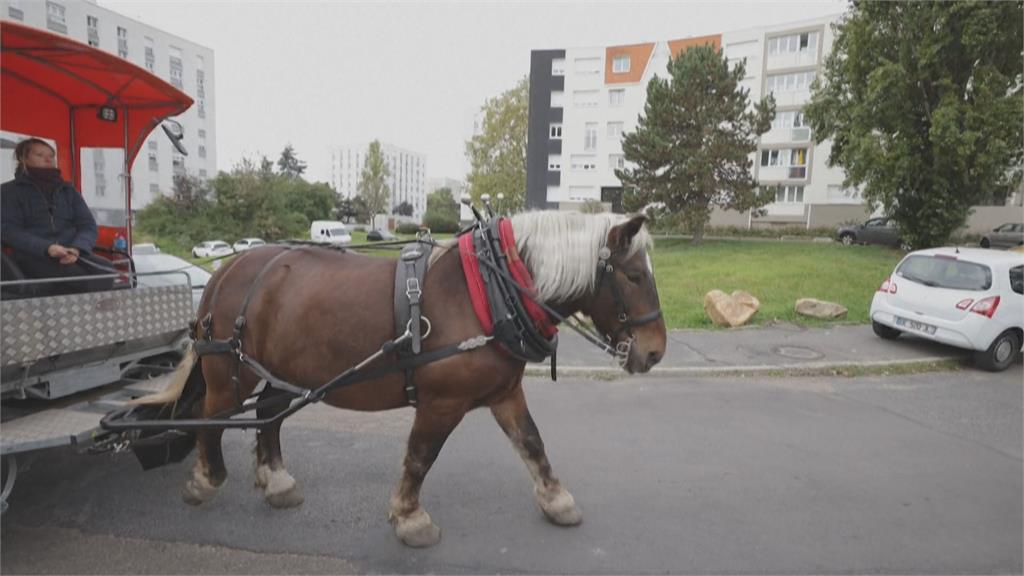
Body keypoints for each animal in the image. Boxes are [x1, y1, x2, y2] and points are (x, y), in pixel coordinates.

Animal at [174, 208, 663, 545]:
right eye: (634, 276)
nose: (656, 351)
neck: (490, 292)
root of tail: (225, 270)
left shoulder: (505, 392)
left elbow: (531, 442)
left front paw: (556, 500)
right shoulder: (441, 403)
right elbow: (420, 456)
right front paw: (411, 518)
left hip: (282, 367)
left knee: (269, 412)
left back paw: (276, 480)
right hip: (229, 370)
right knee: (210, 413)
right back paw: (206, 479)